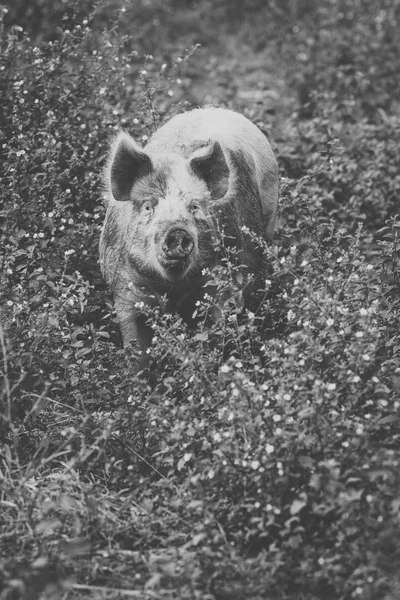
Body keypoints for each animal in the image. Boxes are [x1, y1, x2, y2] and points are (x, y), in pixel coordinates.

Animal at [99, 108, 278, 354]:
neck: (173, 287)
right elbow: (136, 343)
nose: (177, 231)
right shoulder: (125, 288)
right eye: (148, 206)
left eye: (194, 206)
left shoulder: (223, 280)